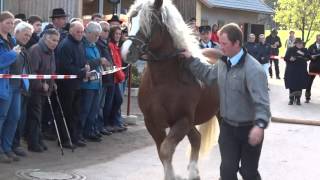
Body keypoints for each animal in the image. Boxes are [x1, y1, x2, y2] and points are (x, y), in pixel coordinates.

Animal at [121, 0, 219, 179]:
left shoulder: (182, 120)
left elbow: (166, 150)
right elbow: (162, 151)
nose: (126, 52)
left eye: (151, 22)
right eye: (131, 21)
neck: (164, 81)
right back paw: (193, 172)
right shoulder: (152, 122)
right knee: (196, 138)